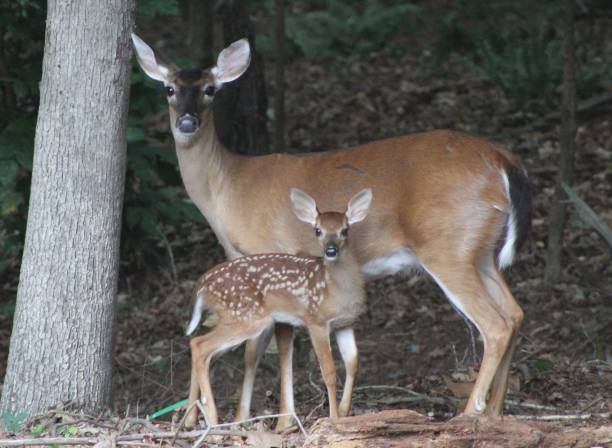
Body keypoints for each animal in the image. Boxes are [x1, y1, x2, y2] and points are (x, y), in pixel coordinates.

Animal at [133, 32, 532, 428]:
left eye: (211, 89)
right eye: (169, 88)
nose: (187, 122)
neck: (227, 187)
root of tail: (503, 161)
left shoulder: (270, 254)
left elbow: (271, 343)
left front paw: (271, 420)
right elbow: (260, 347)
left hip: (447, 247)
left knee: (494, 325)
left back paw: (468, 414)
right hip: (481, 251)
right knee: (515, 314)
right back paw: (496, 413)